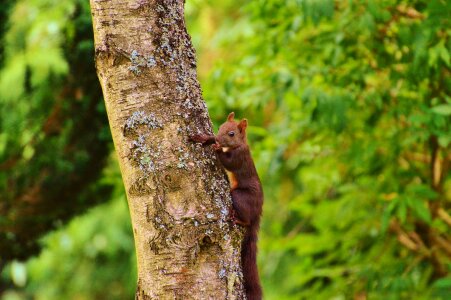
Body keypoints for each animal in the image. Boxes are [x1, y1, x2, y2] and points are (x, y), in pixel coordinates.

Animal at [191, 112, 264, 300]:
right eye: (220, 127)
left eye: (231, 134)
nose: (217, 138)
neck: (239, 145)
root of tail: (258, 211)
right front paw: (206, 138)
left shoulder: (240, 157)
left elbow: (228, 163)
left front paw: (215, 147)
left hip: (240, 197)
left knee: (246, 220)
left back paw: (238, 219)